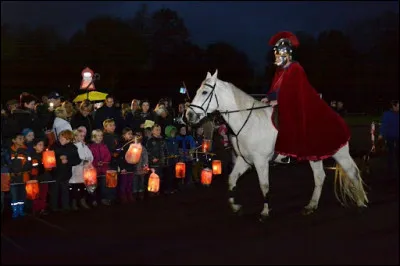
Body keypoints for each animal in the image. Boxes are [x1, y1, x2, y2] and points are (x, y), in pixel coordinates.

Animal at [188, 70, 368, 220]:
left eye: (205, 92)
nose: (188, 115)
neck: (249, 121)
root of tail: (337, 117)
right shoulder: (244, 160)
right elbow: (232, 179)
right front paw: (235, 207)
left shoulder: (261, 161)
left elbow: (264, 185)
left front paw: (265, 212)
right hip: (315, 157)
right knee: (319, 177)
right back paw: (311, 206)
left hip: (340, 153)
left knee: (352, 172)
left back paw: (360, 203)